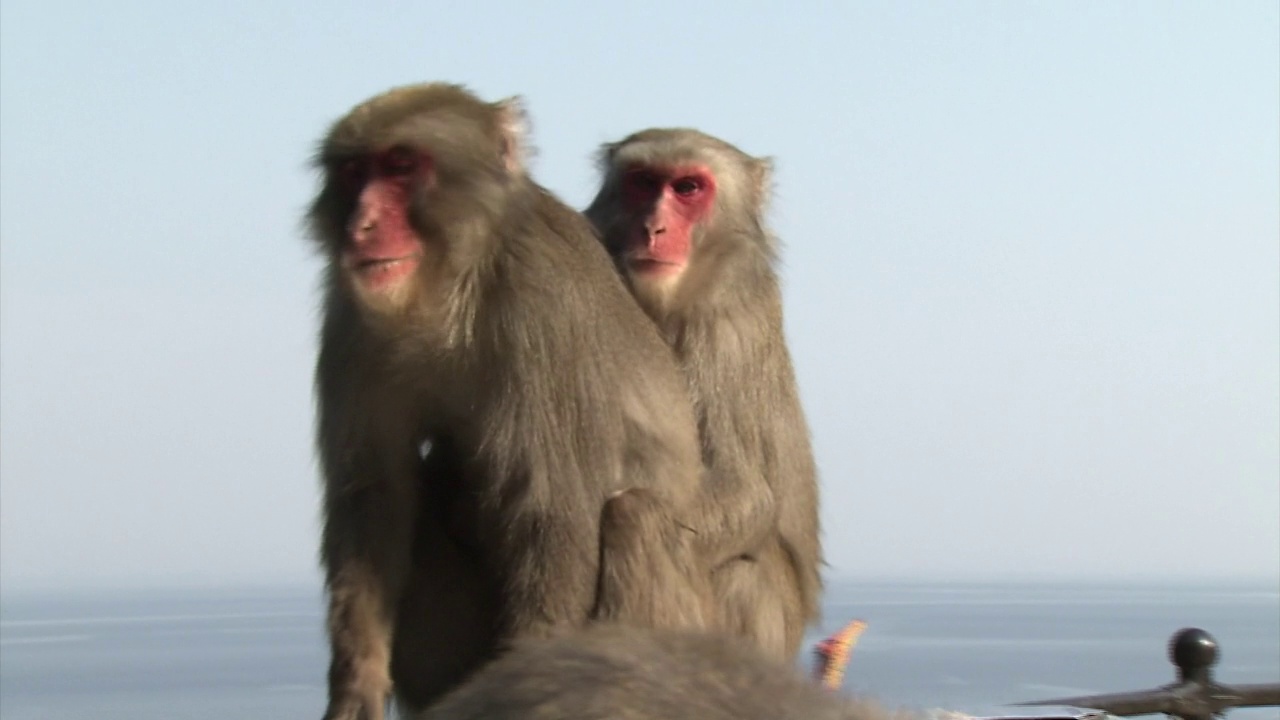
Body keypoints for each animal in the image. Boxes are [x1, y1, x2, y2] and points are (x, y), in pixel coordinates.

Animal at [586, 130, 824, 661]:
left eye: (688, 188)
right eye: (643, 182)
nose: (653, 227)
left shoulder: (726, 318)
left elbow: (744, 490)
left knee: (733, 571)